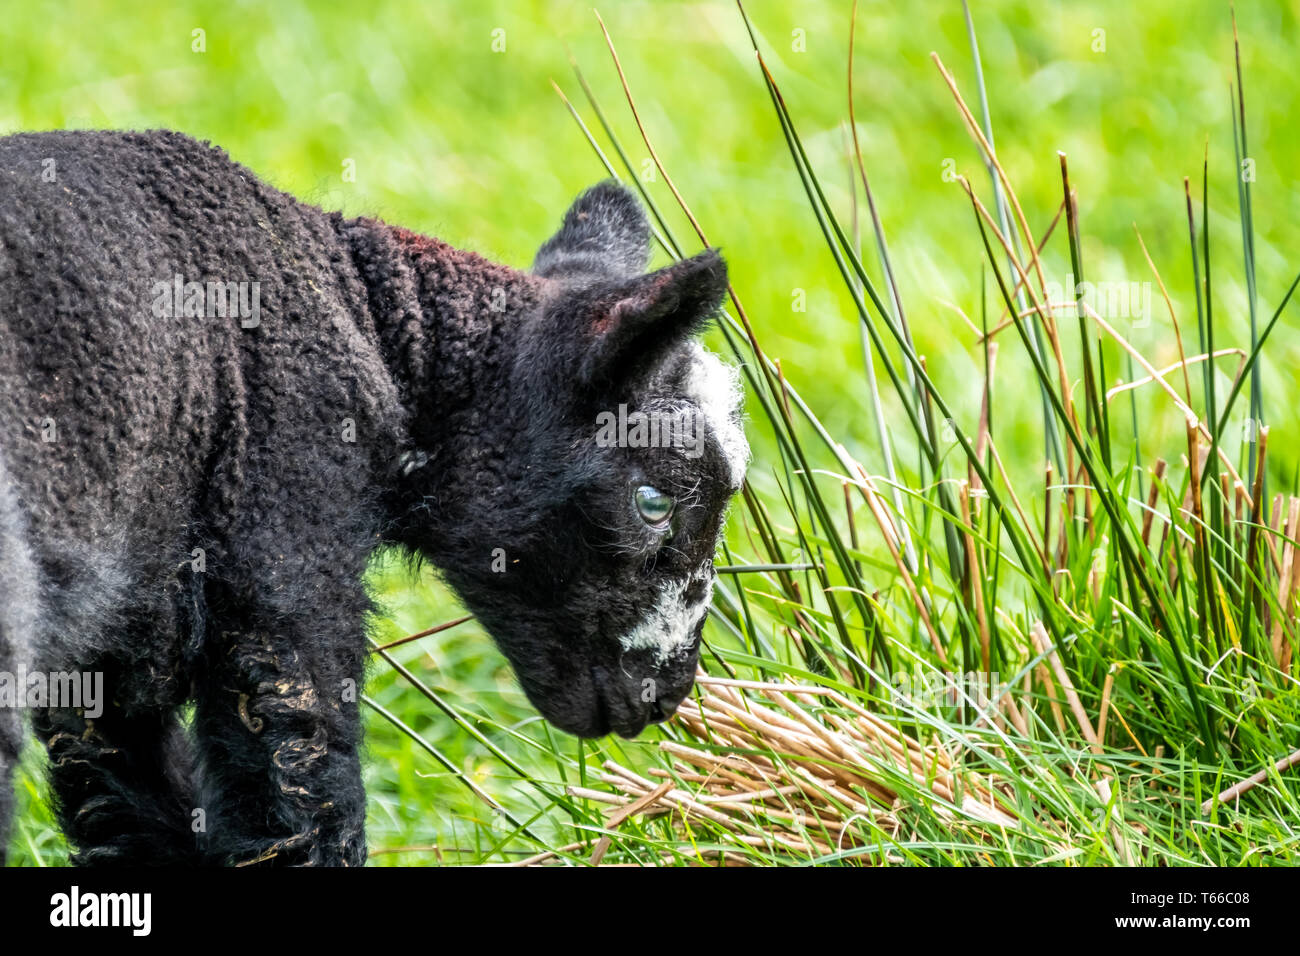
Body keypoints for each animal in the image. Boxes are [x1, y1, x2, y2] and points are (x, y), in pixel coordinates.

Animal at [0, 128, 748, 868]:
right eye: (654, 502)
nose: (667, 695)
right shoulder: (286, 564)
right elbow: (306, 802)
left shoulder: (109, 665)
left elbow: (129, 810)